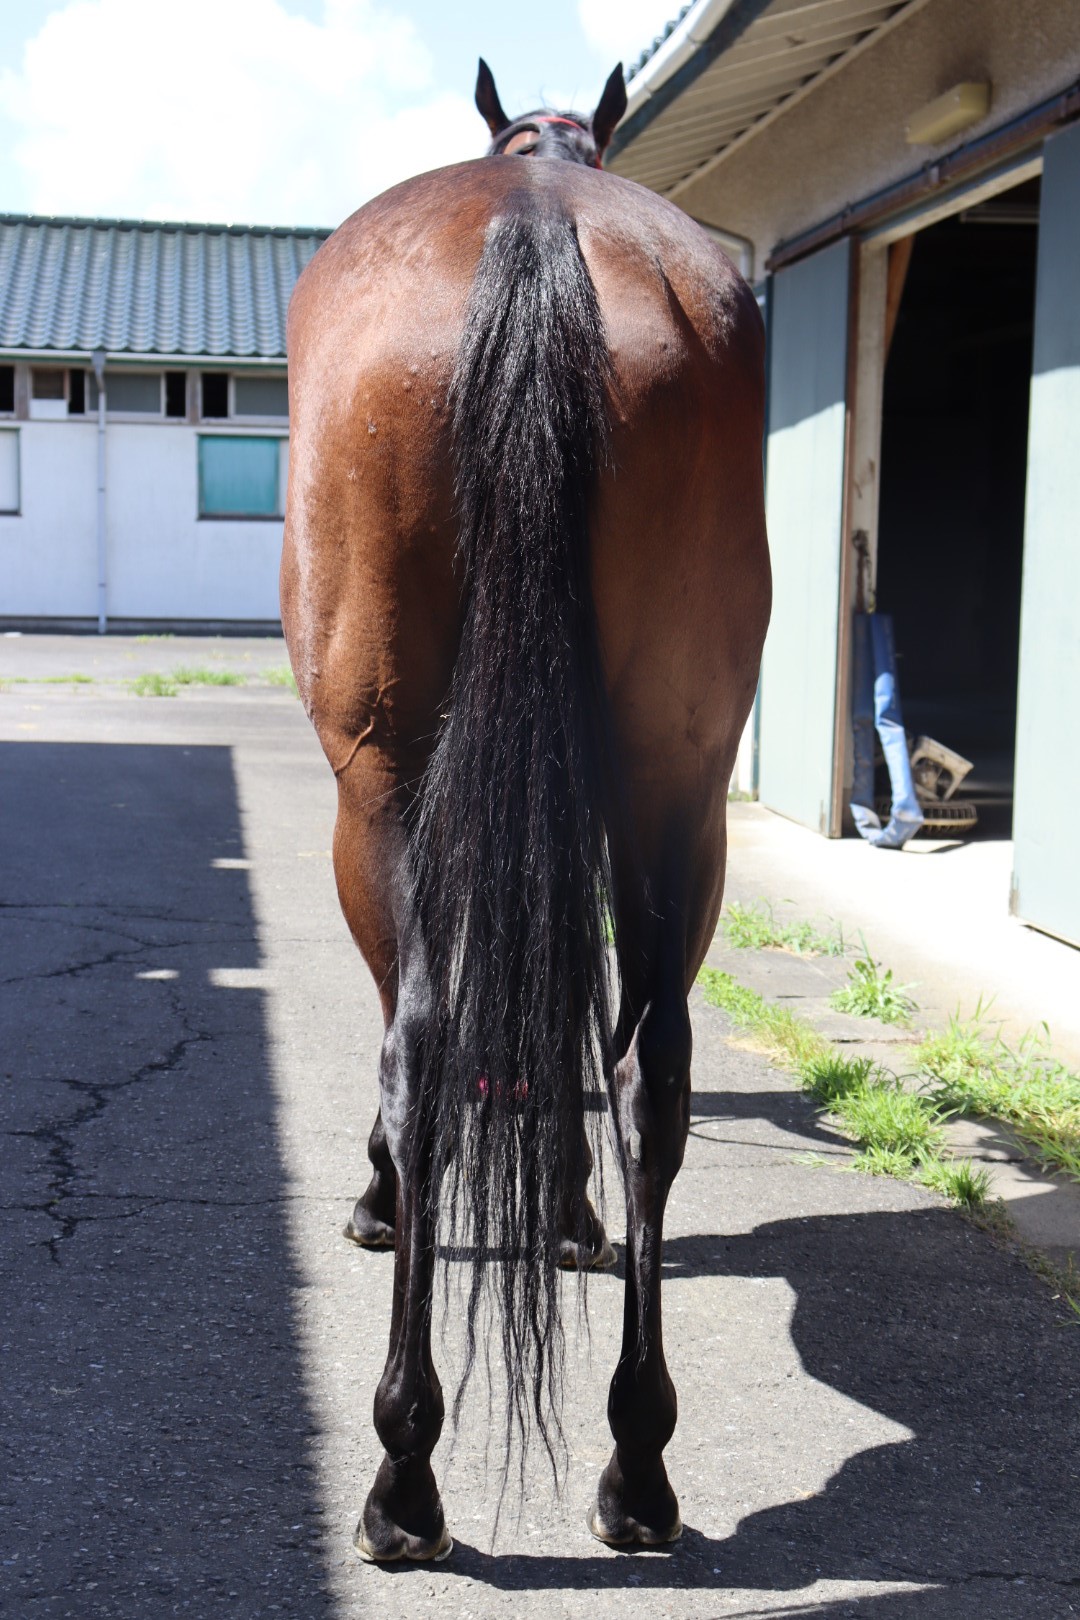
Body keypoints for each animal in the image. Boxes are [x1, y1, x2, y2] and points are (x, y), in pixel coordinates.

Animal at [280, 57, 771, 1562]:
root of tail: (538, 225)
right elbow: (567, 1008)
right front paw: (565, 1212)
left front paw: (389, 1198)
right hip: (678, 779)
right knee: (651, 1067)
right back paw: (640, 1463)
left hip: (380, 779)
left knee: (424, 1050)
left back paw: (405, 1476)